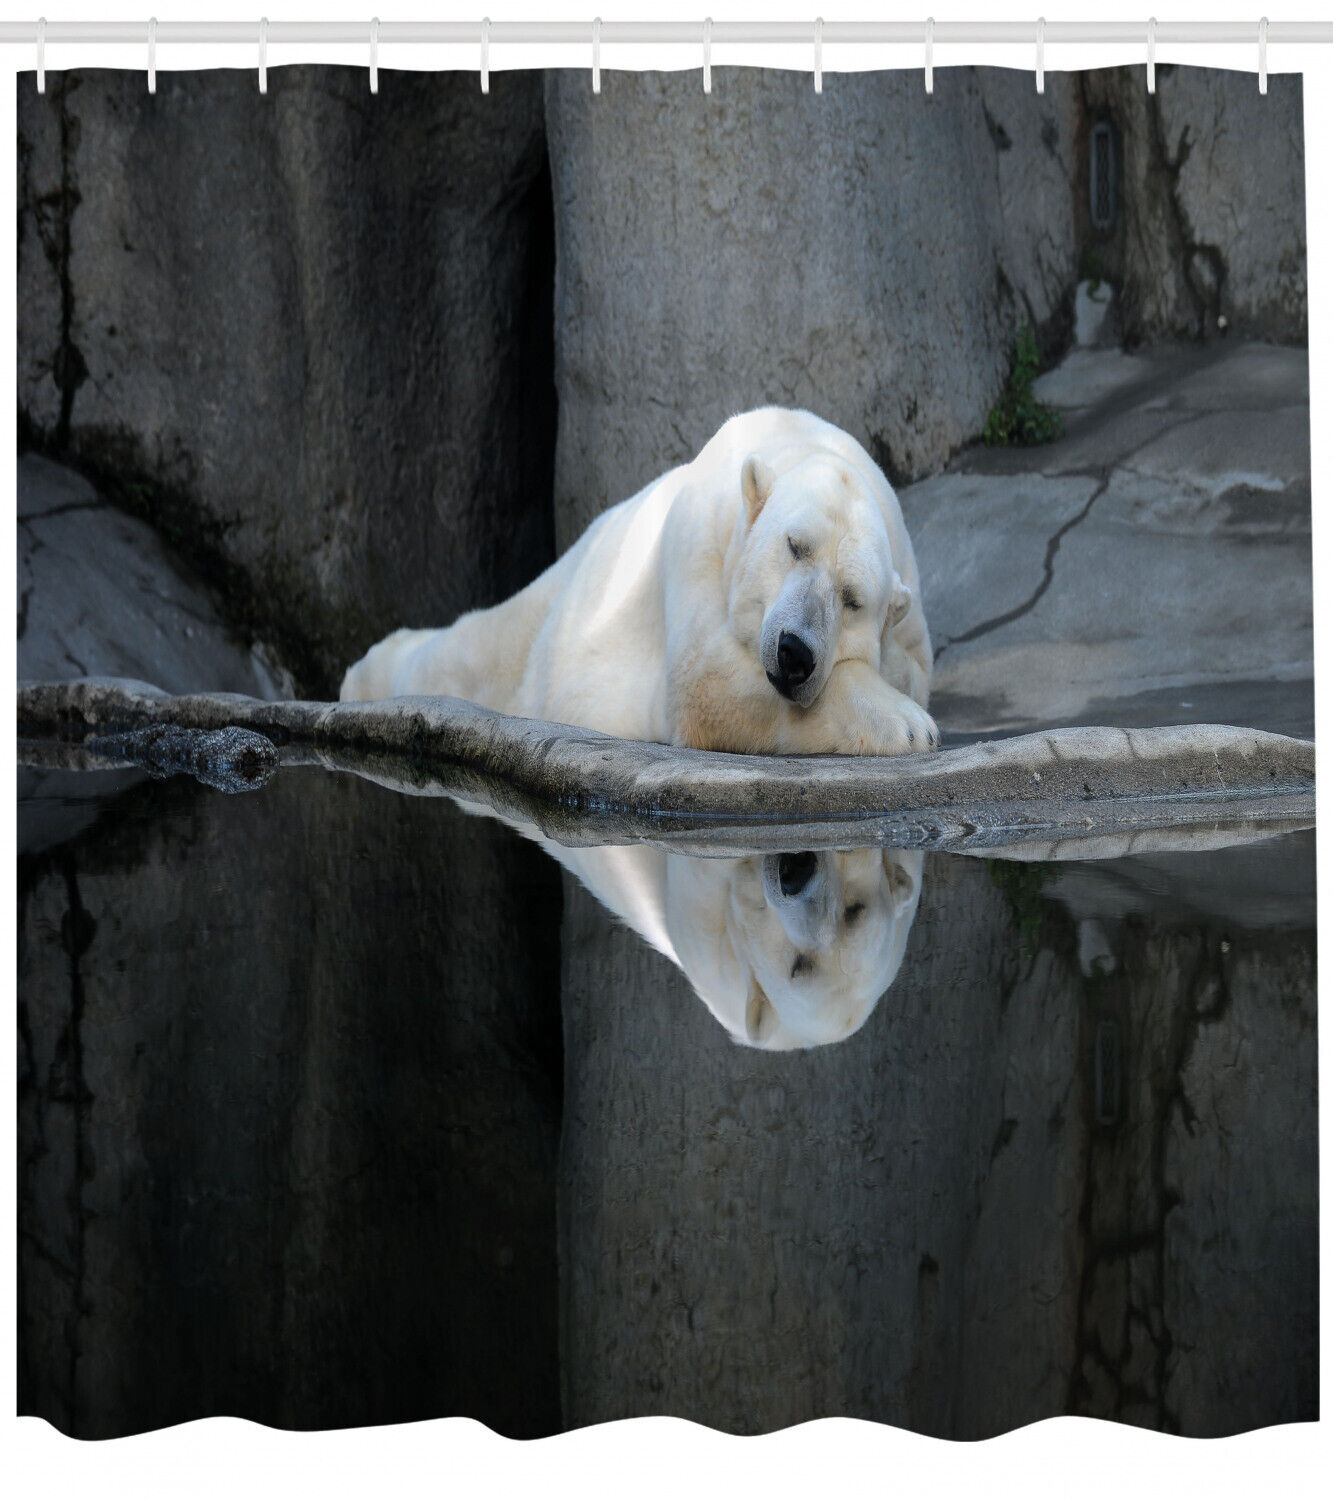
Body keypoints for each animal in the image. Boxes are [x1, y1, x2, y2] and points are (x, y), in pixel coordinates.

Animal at [341, 407, 936, 756]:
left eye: (852, 599)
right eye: (794, 546)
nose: (794, 653)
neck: (796, 441)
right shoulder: (701, 540)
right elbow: (704, 685)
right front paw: (910, 725)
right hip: (539, 630)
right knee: (461, 654)